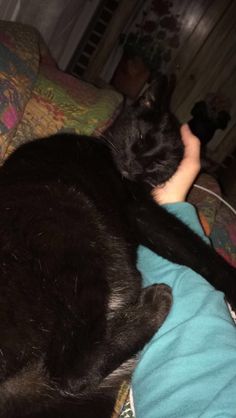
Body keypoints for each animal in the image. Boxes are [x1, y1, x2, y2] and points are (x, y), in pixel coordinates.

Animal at [0, 79, 234, 418]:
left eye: (160, 162)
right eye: (140, 137)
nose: (137, 163)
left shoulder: (142, 213)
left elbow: (189, 248)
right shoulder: (140, 211)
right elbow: (191, 244)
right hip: (71, 219)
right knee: (70, 370)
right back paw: (153, 305)